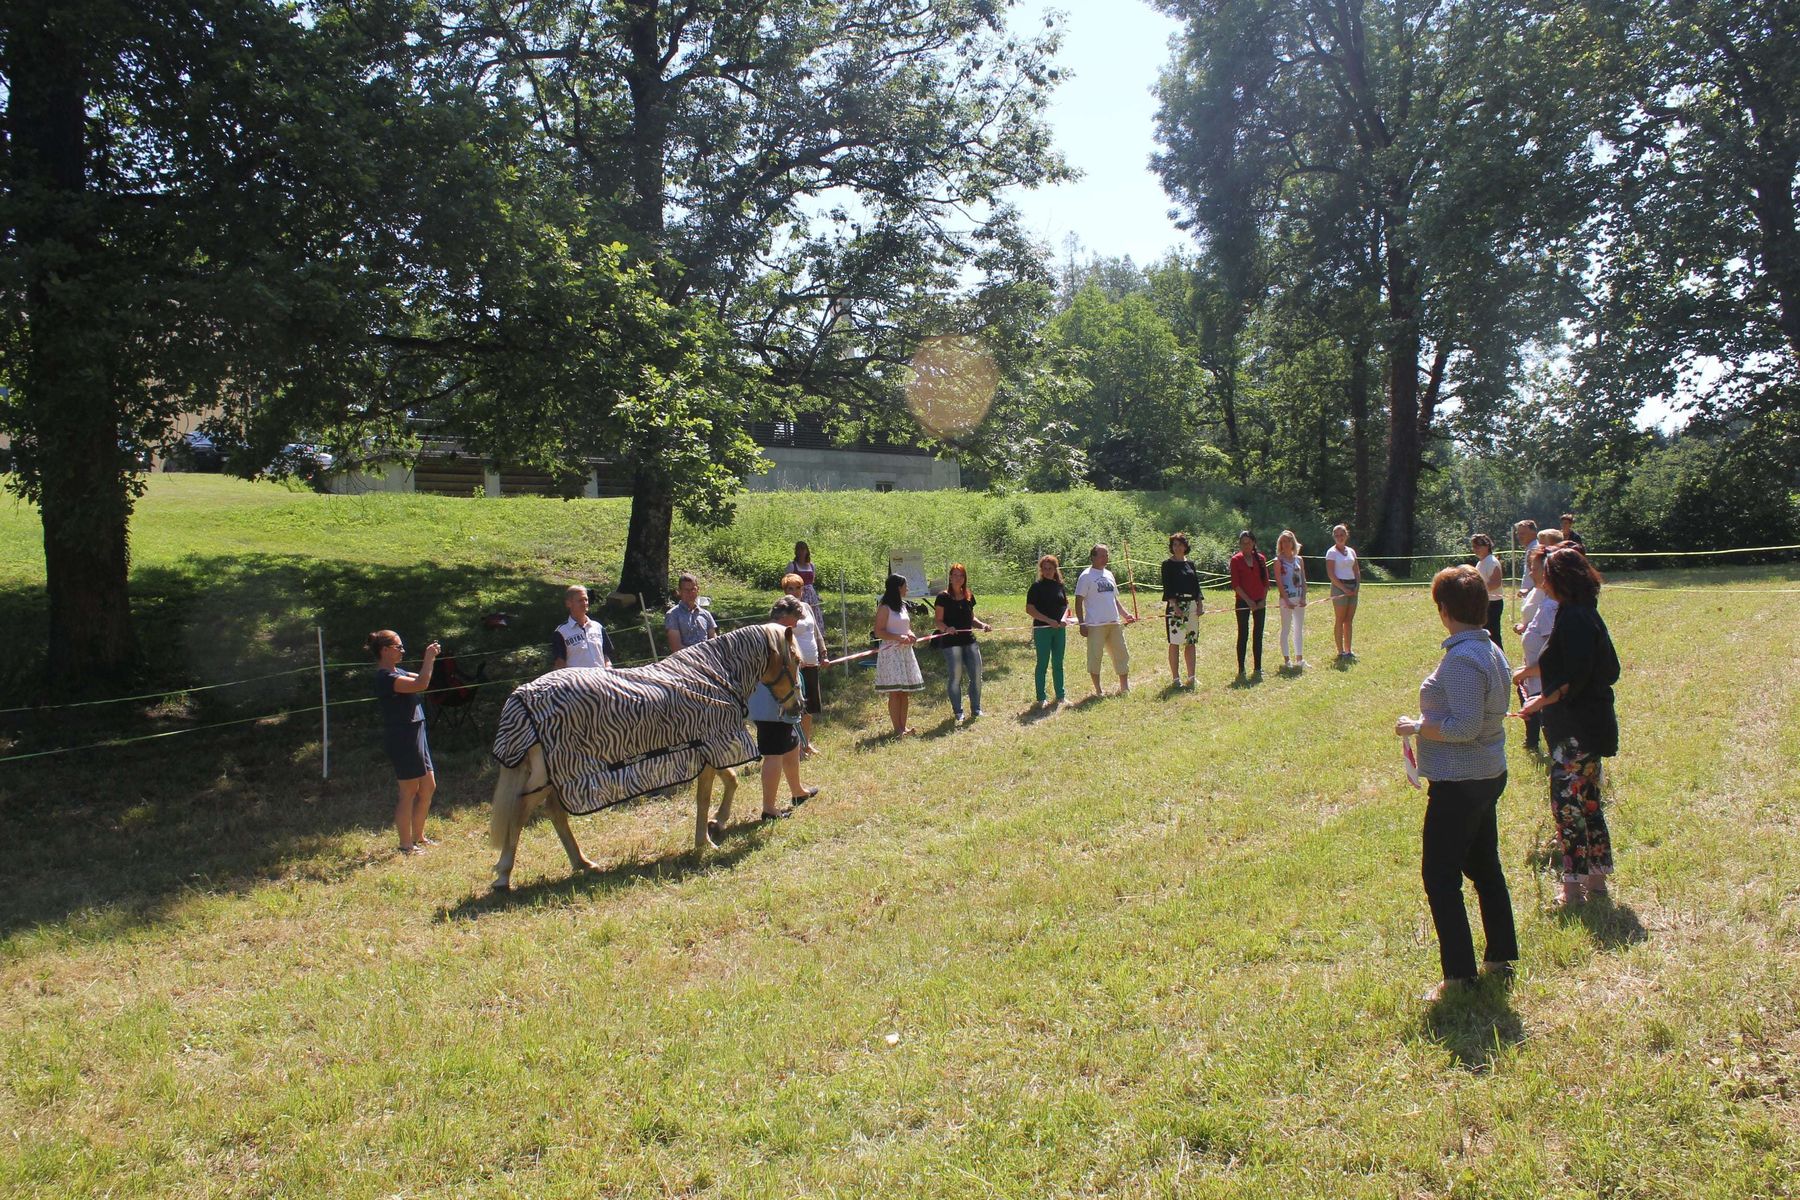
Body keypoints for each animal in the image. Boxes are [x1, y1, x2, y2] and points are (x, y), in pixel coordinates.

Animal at [493, 629, 802, 892]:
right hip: (547, 777)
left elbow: (732, 781)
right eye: (796, 660)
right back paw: (503, 876)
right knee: (520, 813)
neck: (712, 676)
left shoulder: (708, 750)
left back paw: (584, 863)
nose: (798, 706)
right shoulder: (711, 745)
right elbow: (704, 798)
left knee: (554, 813)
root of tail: (522, 695)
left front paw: (718, 822)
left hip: (559, 777)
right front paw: (704, 842)